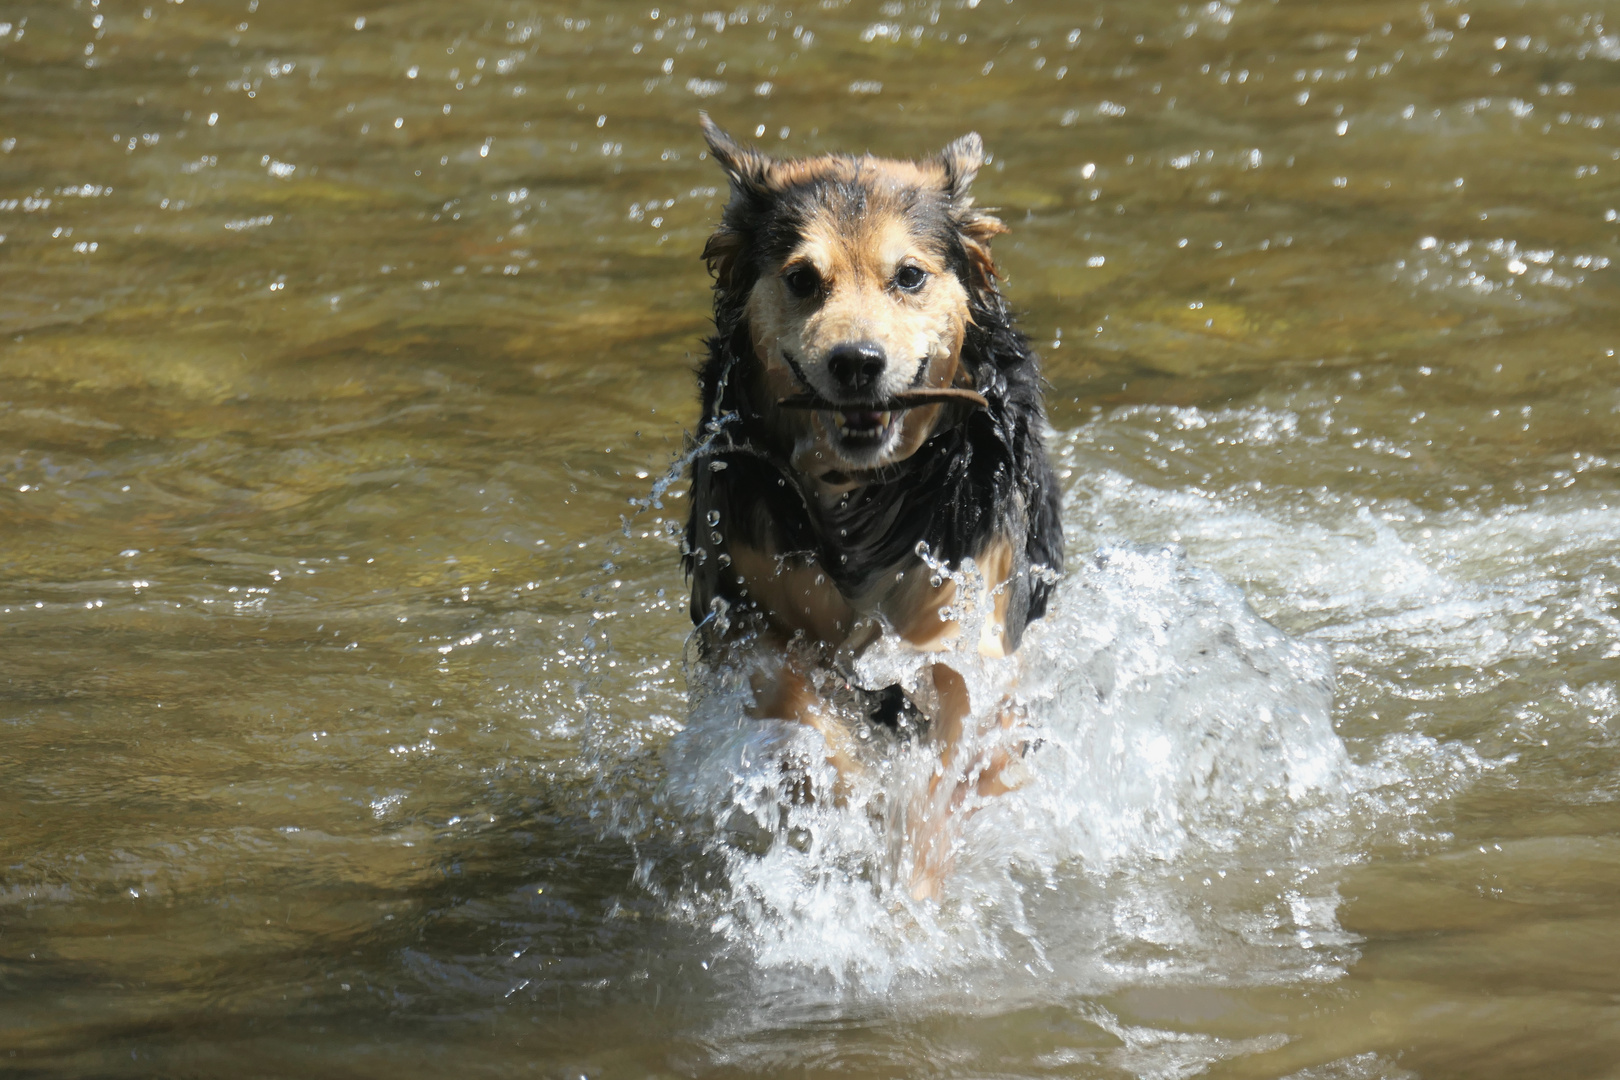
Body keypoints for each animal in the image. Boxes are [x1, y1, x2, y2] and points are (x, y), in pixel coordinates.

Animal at [680, 114, 1062, 900]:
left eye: (909, 275)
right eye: (802, 278)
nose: (857, 362)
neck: (857, 495)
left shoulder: (964, 611)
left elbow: (950, 744)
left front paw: (911, 883)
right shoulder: (741, 606)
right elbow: (792, 698)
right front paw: (846, 789)